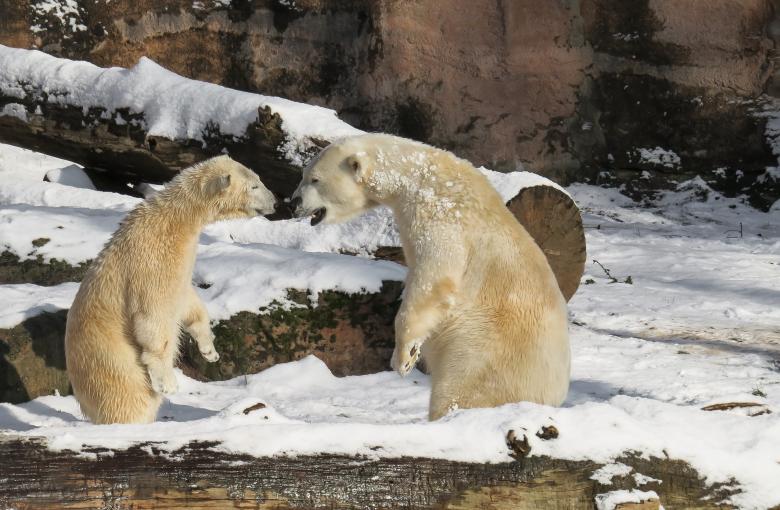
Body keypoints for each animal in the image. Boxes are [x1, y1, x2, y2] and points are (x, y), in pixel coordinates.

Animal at [65, 155, 276, 424]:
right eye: (254, 186)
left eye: (258, 179)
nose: (275, 202)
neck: (174, 221)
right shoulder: (153, 261)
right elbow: (154, 317)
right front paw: (168, 383)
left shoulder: (181, 265)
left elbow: (187, 300)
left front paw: (210, 350)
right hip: (111, 359)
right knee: (129, 397)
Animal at [290, 134, 570, 420]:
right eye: (304, 175)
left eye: (314, 179)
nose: (294, 202)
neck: (423, 177)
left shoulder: (443, 218)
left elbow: (433, 280)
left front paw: (403, 358)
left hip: (486, 351)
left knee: (460, 391)